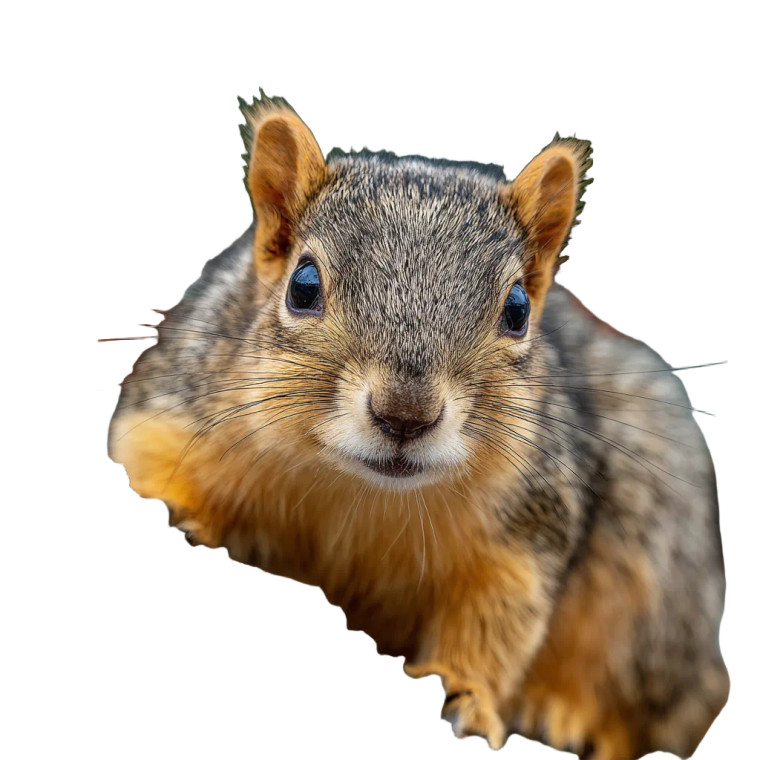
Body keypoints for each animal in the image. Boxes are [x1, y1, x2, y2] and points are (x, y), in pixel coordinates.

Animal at [108, 91, 729, 759]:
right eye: (303, 285)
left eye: (517, 310)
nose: (405, 415)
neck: (358, 495)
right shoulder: (170, 419)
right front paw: (181, 516)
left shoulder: (524, 535)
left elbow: (493, 626)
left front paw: (470, 698)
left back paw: (564, 712)